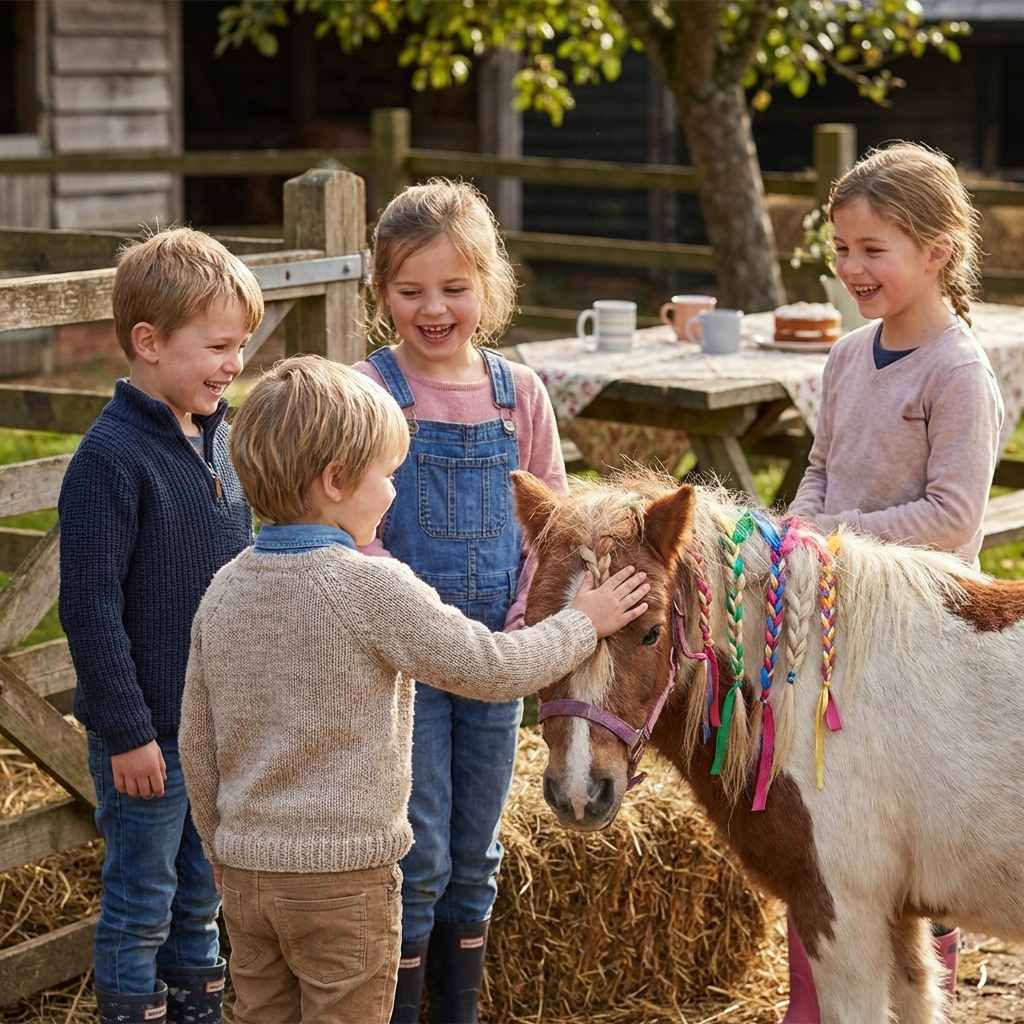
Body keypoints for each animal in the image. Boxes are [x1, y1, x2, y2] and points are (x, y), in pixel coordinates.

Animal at [510, 468, 1024, 1024]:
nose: (579, 793)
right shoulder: (899, 916)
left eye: (651, 633)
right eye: (537, 625)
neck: (812, 691)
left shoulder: (843, 913)